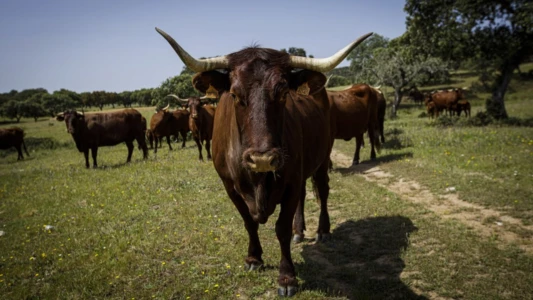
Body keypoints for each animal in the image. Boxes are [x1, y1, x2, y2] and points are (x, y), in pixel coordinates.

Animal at [154, 27, 370, 296]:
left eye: (283, 93)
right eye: (234, 94)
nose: (263, 158)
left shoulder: (291, 180)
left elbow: (281, 229)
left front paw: (287, 277)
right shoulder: (230, 186)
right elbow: (249, 222)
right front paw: (254, 258)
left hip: (322, 159)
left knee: (323, 190)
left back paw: (322, 230)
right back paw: (300, 231)